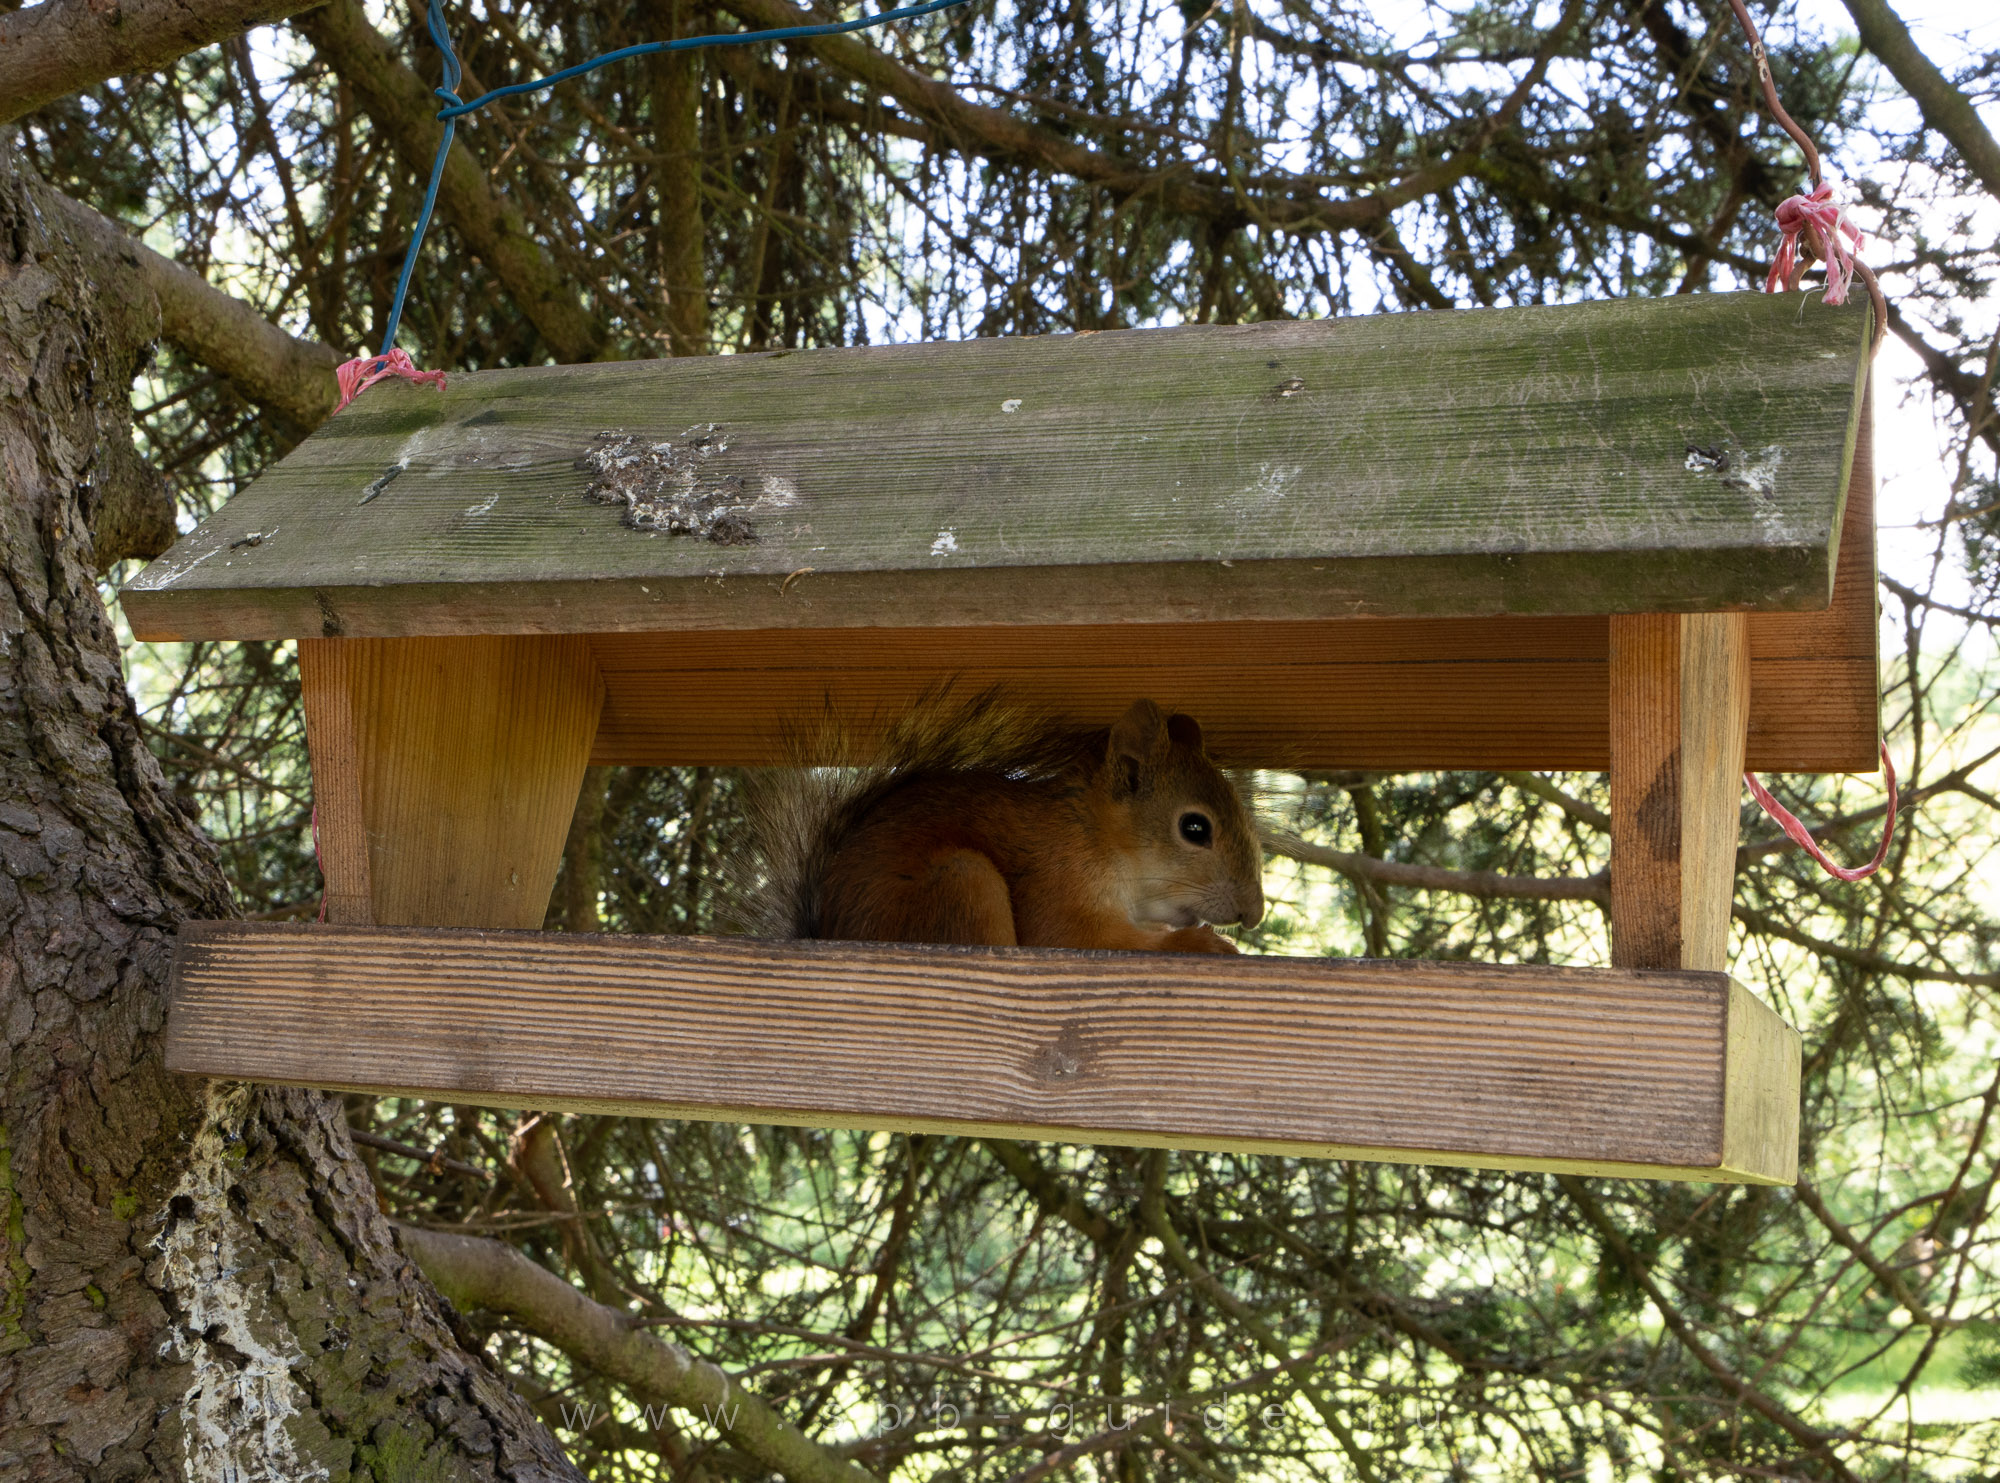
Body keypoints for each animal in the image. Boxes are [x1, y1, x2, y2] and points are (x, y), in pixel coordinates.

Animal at [750, 690, 1263, 952]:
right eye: (1195, 828)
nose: (1254, 914)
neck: (1093, 835)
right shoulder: (1057, 881)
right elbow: (1079, 938)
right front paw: (1196, 943)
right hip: (963, 881)